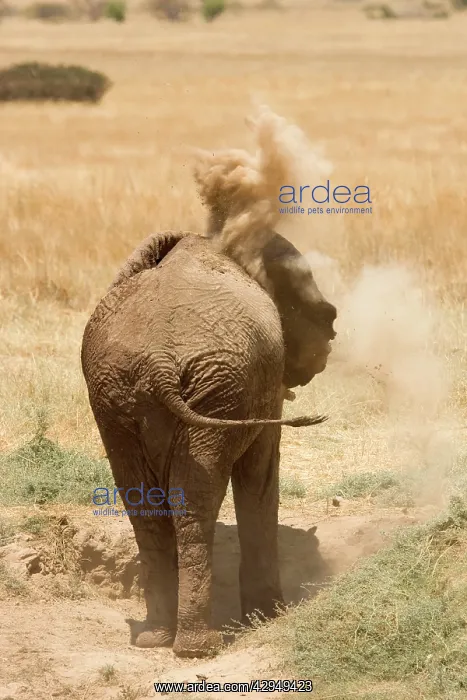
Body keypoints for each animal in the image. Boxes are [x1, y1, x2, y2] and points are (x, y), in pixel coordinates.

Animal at [81, 228, 336, 658]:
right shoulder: (263, 388)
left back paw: (157, 638)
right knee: (194, 499)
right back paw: (198, 648)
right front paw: (269, 617)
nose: (333, 330)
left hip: (119, 397)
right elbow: (261, 476)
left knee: (146, 504)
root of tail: (159, 362)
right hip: (214, 387)